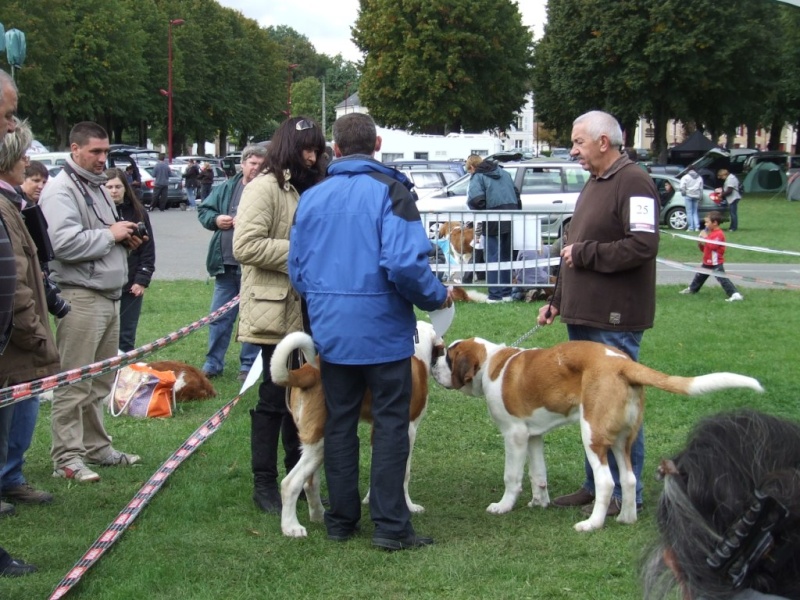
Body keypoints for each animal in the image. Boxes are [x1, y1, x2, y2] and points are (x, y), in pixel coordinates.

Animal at [268, 322, 444, 536]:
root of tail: (308, 372)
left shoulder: (378, 429)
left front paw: (370, 499)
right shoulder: (408, 429)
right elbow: (404, 473)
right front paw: (409, 506)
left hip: (312, 442)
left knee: (310, 483)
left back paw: (319, 516)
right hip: (321, 442)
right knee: (290, 484)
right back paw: (291, 527)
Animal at [434, 340, 764, 532]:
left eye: (448, 356)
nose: (435, 363)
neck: (493, 363)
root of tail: (623, 363)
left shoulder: (514, 435)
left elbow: (512, 476)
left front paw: (503, 506)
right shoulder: (532, 436)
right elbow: (537, 473)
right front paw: (539, 502)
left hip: (592, 435)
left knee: (606, 481)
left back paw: (592, 524)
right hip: (620, 439)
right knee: (628, 478)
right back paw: (625, 518)